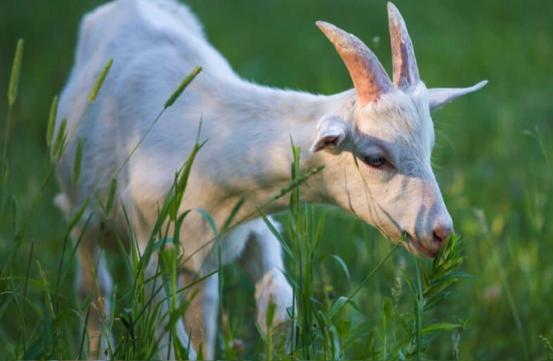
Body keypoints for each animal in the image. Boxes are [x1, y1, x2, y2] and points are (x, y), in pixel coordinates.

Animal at [54, 0, 486, 358]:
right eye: (375, 158)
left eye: (429, 148)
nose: (440, 232)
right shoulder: (151, 245)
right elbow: (165, 337)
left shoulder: (251, 222)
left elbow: (277, 307)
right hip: (80, 216)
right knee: (95, 293)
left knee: (203, 307)